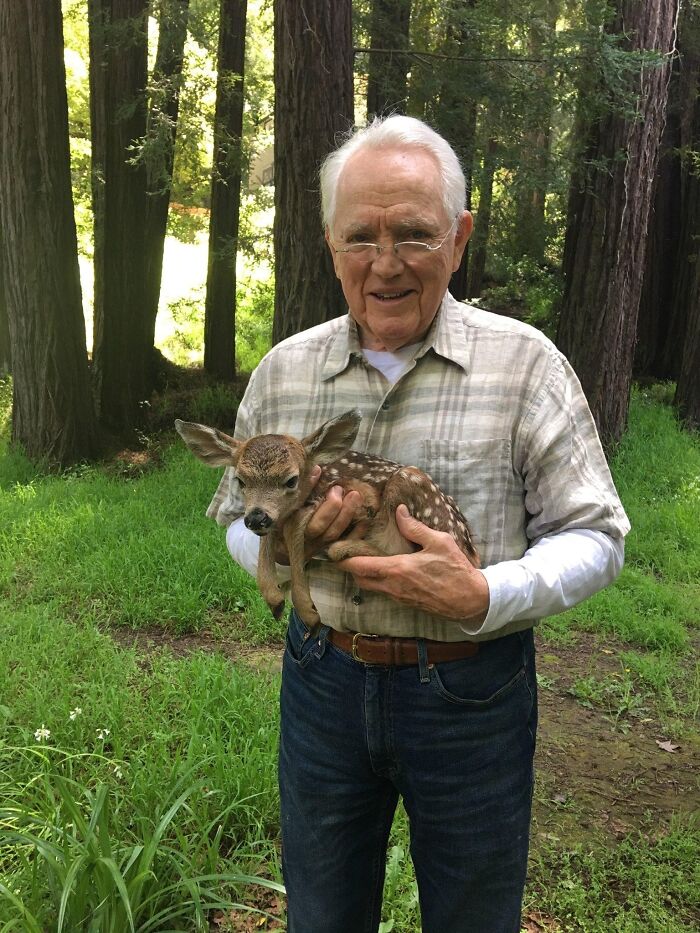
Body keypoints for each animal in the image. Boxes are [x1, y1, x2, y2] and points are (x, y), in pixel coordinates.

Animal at [175, 409, 479, 630]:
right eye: (240, 480)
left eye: (291, 480)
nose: (256, 517)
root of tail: (469, 549)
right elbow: (276, 533)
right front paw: (274, 600)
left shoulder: (361, 497)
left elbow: (294, 526)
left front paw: (308, 612)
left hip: (411, 486)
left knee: (402, 551)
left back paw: (343, 549)